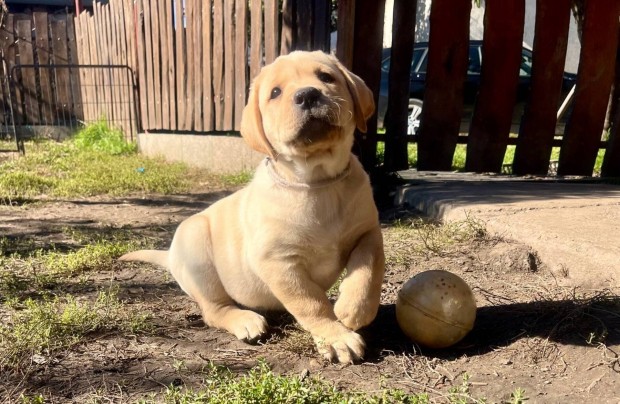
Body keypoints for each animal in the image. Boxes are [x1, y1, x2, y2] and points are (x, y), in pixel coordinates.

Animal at [120, 50, 382, 362]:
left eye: (326, 77)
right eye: (275, 93)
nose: (307, 94)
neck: (317, 182)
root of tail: (171, 257)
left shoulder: (369, 231)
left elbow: (368, 268)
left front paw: (354, 309)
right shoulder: (278, 261)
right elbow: (310, 301)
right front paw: (336, 336)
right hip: (198, 253)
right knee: (214, 309)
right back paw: (245, 320)